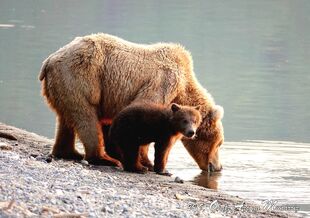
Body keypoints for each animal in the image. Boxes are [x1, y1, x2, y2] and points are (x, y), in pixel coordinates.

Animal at [38, 33, 224, 171]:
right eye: (219, 144)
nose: (218, 167)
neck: (184, 87)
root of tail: (49, 60)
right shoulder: (164, 82)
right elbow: (143, 113)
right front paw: (146, 162)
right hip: (80, 78)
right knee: (86, 118)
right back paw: (104, 159)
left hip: (63, 86)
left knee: (66, 120)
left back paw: (68, 152)